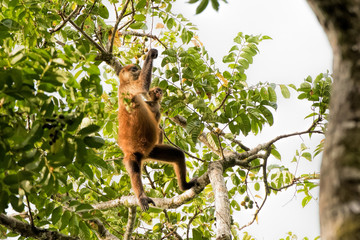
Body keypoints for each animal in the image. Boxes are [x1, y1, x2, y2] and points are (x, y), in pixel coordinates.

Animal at [117, 49, 197, 211]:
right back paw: (141, 197)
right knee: (134, 171)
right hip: (132, 156)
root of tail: (142, 155)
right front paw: (151, 53)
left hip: (152, 150)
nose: (138, 70)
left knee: (177, 154)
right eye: (134, 69)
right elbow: (142, 86)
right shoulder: (128, 88)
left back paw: (184, 187)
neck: (123, 84)